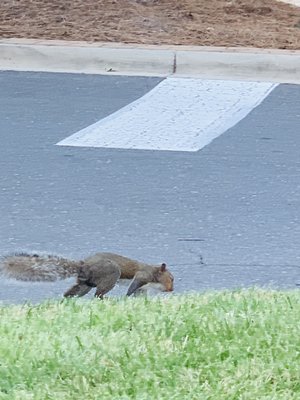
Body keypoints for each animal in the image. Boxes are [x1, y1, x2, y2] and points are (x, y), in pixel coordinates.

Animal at [0, 252, 175, 298]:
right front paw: (127, 296)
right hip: (111, 274)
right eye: (171, 278)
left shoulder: (144, 287)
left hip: (84, 284)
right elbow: (133, 286)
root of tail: (84, 266)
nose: (171, 290)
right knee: (98, 294)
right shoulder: (142, 275)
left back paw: (66, 300)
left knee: (75, 291)